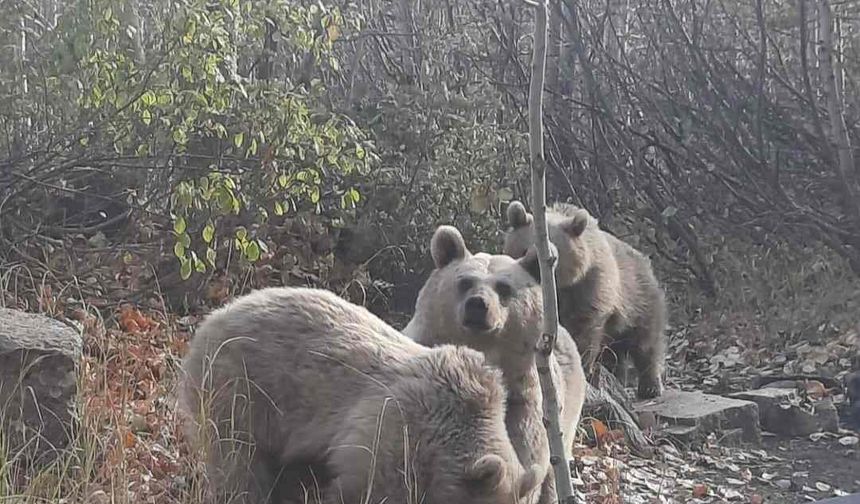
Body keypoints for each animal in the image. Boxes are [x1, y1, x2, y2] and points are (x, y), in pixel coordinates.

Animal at [404, 225, 584, 504]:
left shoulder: (523, 398)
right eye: (465, 281)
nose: (478, 304)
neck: (486, 349)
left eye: (504, 287)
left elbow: (525, 454)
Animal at [500, 199, 668, 400]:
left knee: (646, 342)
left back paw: (650, 386)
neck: (558, 291)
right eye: (525, 250)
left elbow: (583, 332)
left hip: (639, 300)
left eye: (554, 255)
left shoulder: (589, 289)